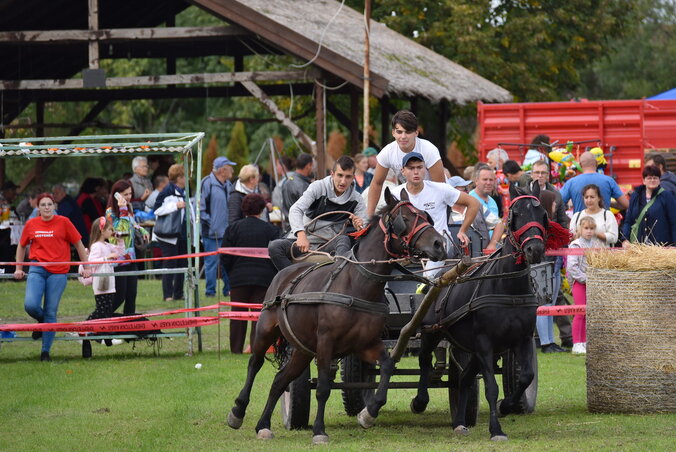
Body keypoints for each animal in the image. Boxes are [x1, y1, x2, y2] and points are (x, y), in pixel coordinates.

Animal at [228, 188, 448, 444]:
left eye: (425, 215)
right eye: (405, 218)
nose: (439, 243)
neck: (357, 285)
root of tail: (284, 273)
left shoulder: (366, 343)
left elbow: (387, 366)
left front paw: (369, 413)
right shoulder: (326, 343)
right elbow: (323, 387)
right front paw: (319, 430)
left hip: (302, 350)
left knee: (280, 381)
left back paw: (263, 425)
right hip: (266, 330)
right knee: (255, 363)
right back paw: (238, 412)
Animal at [412, 182, 548, 440]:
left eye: (543, 214)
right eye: (515, 215)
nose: (534, 249)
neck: (507, 287)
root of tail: (440, 278)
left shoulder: (523, 339)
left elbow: (527, 376)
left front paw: (507, 405)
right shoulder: (485, 343)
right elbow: (491, 388)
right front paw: (496, 429)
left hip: (471, 348)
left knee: (464, 379)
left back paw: (459, 421)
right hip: (431, 332)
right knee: (424, 360)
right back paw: (420, 401)